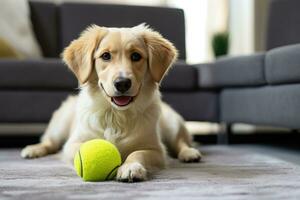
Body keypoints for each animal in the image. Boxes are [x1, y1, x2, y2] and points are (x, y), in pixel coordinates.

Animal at [21, 24, 202, 182]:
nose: (122, 83)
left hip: (172, 122)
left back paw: (189, 153)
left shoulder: (156, 149)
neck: (116, 115)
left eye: (136, 56)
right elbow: (78, 148)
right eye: (105, 56)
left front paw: (130, 167)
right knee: (49, 142)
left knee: (181, 142)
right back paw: (33, 149)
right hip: (60, 124)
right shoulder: (72, 144)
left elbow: (137, 153)